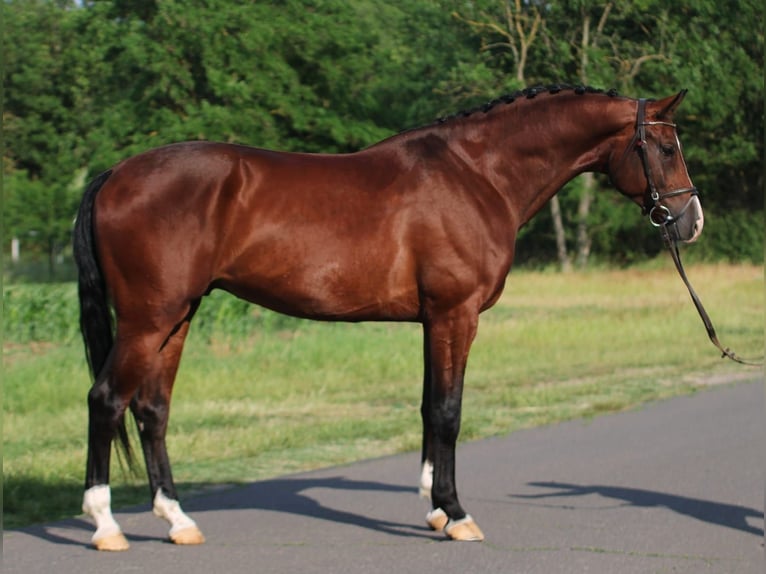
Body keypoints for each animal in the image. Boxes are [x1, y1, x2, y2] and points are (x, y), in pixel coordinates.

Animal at [73, 85, 703, 551]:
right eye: (665, 149)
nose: (691, 221)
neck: (478, 174)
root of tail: (115, 174)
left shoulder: (432, 321)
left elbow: (428, 408)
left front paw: (434, 510)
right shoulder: (456, 315)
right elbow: (448, 412)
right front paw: (456, 514)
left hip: (176, 318)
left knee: (152, 410)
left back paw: (178, 521)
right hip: (147, 321)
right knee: (106, 401)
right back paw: (106, 526)